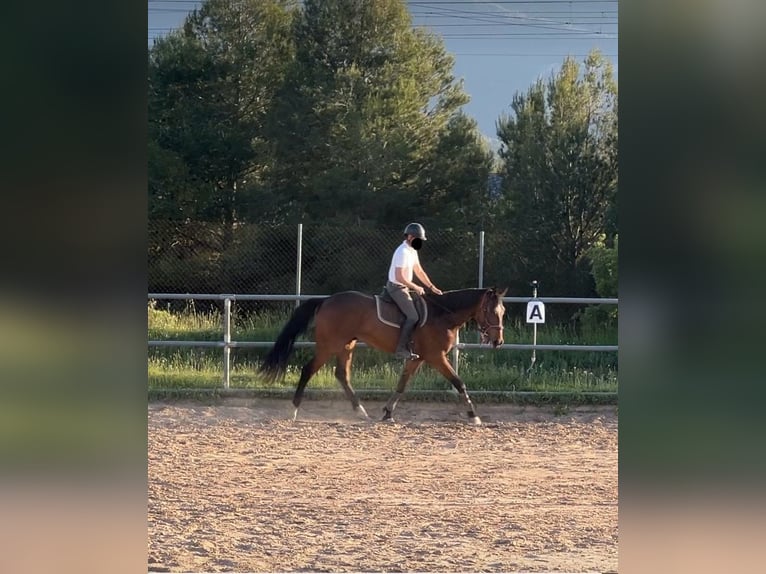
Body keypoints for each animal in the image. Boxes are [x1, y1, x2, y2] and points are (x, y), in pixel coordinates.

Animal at [258, 287, 507, 425]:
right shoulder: (436, 357)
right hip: (329, 345)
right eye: (491, 311)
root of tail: (327, 300)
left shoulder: (417, 358)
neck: (442, 315)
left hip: (346, 345)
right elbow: (459, 382)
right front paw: (473, 415)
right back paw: (294, 410)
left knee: (341, 374)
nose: (498, 341)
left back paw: (361, 412)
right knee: (308, 370)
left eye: (503, 312)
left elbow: (402, 385)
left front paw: (387, 413)